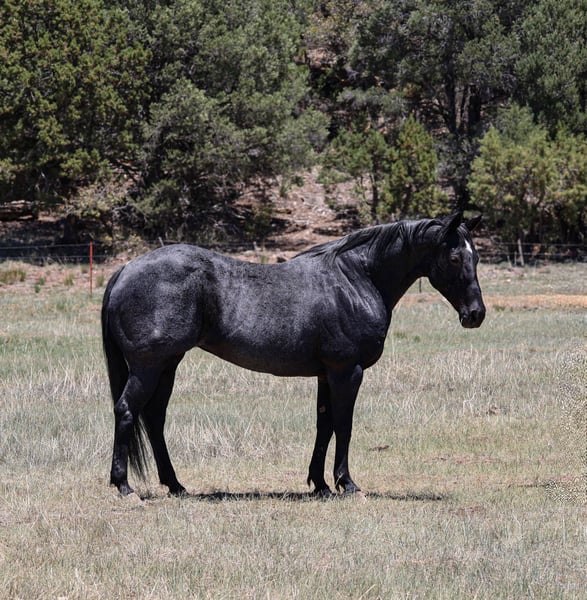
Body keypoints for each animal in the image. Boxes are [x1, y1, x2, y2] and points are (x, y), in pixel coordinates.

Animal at [102, 212, 485, 497]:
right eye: (455, 257)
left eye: (476, 256)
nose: (476, 314)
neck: (355, 280)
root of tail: (125, 270)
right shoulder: (347, 371)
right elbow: (343, 425)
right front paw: (347, 484)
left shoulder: (327, 373)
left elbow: (324, 424)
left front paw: (321, 484)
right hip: (148, 367)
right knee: (127, 410)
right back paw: (123, 486)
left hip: (168, 365)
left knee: (154, 418)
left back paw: (175, 485)